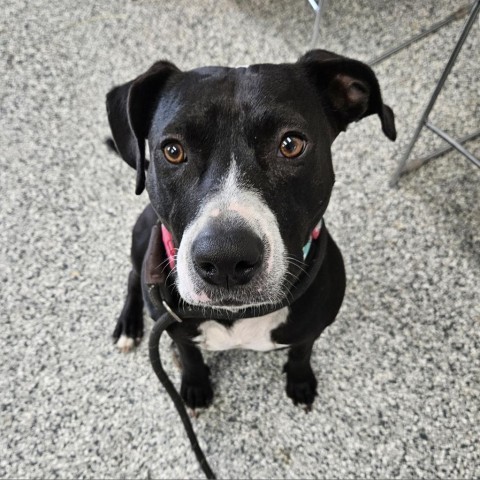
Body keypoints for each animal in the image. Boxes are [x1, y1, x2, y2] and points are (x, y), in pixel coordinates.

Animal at [107, 48, 396, 408]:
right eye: (173, 151)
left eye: (290, 144)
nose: (225, 259)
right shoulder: (175, 327)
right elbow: (189, 354)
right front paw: (195, 384)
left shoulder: (313, 328)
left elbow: (302, 351)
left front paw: (300, 381)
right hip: (143, 233)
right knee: (133, 275)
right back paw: (128, 325)